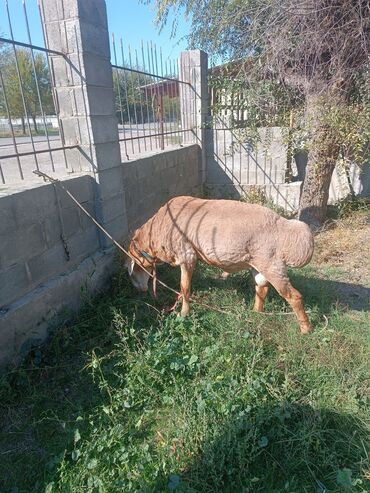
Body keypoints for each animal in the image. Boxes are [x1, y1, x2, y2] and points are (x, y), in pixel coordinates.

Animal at [125, 195, 316, 330]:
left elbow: (184, 288)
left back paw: (306, 329)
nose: (139, 290)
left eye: (133, 272)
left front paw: (183, 314)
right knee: (261, 288)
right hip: (259, 263)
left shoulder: (187, 256)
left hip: (272, 264)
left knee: (295, 296)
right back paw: (255, 314)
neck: (155, 232)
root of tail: (286, 228)